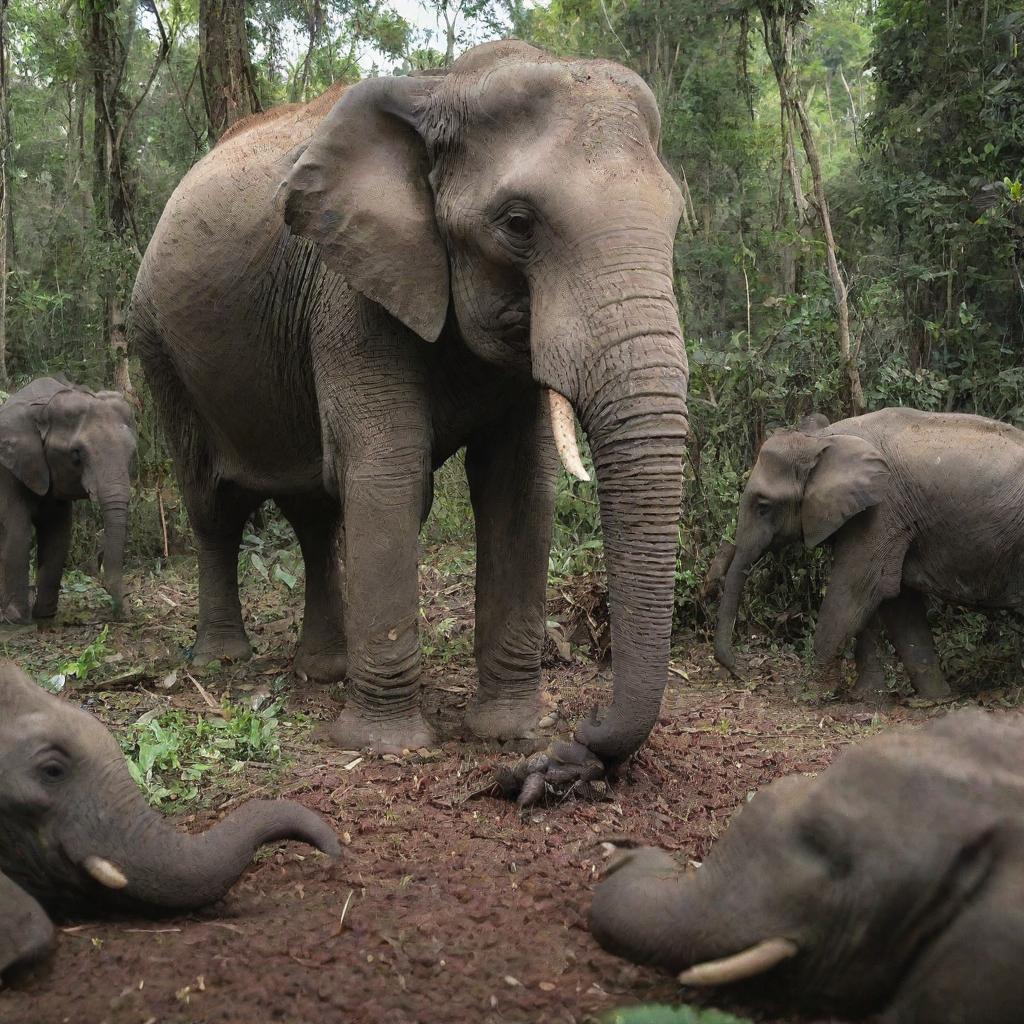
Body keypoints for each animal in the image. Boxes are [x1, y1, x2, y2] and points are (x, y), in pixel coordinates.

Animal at [0, 374, 139, 618]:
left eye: (132, 452)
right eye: (76, 455)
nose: (127, 612)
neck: (44, 406)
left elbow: (58, 534)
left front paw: (44, 614)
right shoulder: (8, 473)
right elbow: (18, 531)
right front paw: (16, 617)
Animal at [128, 37, 688, 790]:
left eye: (676, 219)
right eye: (518, 224)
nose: (579, 742)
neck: (445, 87)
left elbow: (517, 487)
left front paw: (509, 732)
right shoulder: (348, 291)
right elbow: (389, 475)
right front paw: (389, 746)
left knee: (315, 513)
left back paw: (323, 670)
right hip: (157, 345)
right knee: (213, 503)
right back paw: (223, 661)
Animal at [712, 405, 1024, 696]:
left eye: (763, 507)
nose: (740, 673)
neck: (823, 438)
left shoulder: (881, 511)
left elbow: (855, 593)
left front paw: (812, 694)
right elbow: (897, 602)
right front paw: (929, 699)